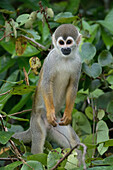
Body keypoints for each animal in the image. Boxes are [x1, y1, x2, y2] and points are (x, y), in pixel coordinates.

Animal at [13, 23, 81, 158]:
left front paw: (68, 114)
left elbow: (73, 86)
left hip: (57, 125)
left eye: (69, 42)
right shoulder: (50, 59)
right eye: (61, 43)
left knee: (74, 144)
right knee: (38, 142)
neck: (64, 58)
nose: (65, 48)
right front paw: (50, 113)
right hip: (37, 122)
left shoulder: (78, 62)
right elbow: (46, 83)